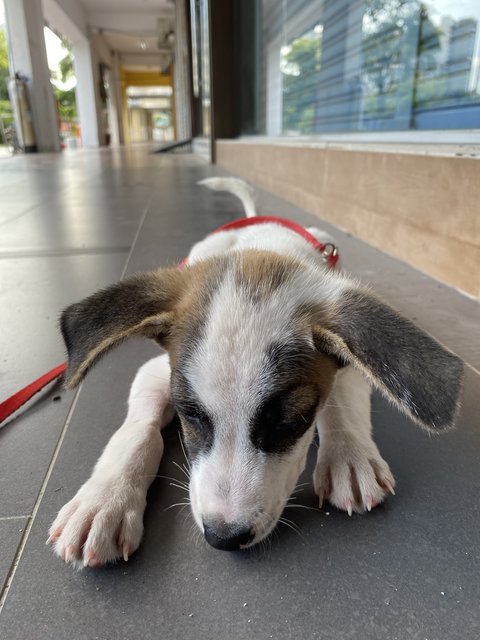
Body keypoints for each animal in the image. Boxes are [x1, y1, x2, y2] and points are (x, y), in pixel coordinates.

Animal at [47, 178, 464, 568]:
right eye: (190, 414)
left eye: (291, 422)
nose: (224, 537)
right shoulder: (155, 373)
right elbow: (138, 432)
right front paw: (104, 500)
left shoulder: (348, 366)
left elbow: (339, 403)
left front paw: (350, 456)